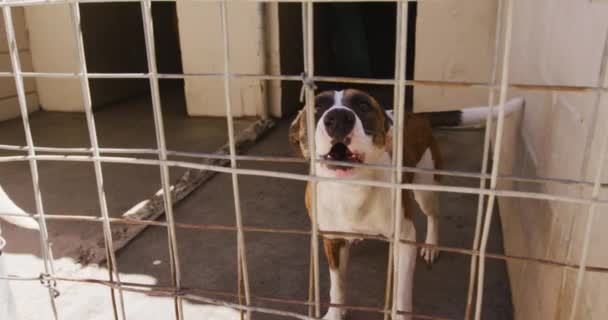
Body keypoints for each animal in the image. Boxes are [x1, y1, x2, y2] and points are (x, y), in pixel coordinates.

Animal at [290, 88, 524, 320]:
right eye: (317, 107)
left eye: (363, 105)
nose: (338, 118)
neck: (351, 189)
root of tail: (416, 115)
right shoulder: (332, 240)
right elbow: (336, 285)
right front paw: (335, 313)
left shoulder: (404, 239)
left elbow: (401, 294)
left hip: (426, 189)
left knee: (433, 215)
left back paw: (431, 245)